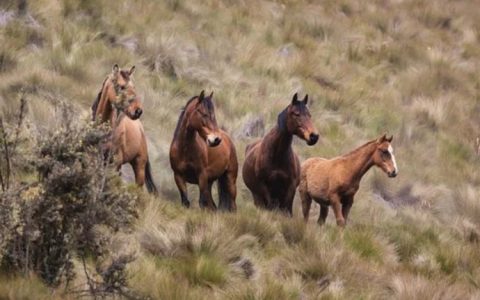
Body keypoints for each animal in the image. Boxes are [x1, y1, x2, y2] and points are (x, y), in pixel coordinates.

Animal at [90, 64, 158, 193]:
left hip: (139, 166)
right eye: (121, 86)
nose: (138, 111)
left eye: (134, 87)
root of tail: (140, 128)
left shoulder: (115, 161)